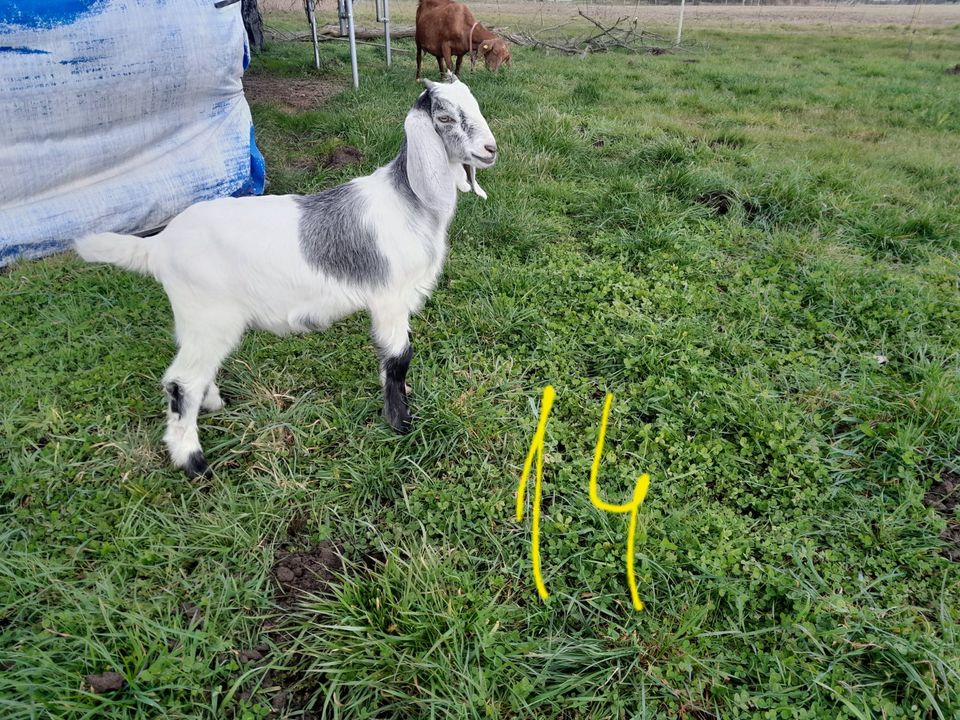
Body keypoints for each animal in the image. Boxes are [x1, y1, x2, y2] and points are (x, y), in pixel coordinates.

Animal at [74, 76, 496, 476]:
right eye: (444, 117)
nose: (490, 149)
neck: (408, 203)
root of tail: (158, 247)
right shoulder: (388, 298)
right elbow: (397, 359)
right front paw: (401, 423)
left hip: (194, 320)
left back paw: (212, 403)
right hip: (211, 316)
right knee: (181, 382)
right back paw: (194, 463)